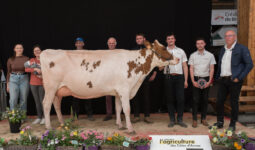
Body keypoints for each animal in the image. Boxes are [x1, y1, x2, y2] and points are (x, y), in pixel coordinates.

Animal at [40, 39, 179, 134]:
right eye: (164, 48)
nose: (177, 59)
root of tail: (47, 51)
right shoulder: (124, 89)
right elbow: (127, 109)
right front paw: (130, 129)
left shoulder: (118, 92)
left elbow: (118, 108)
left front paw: (120, 125)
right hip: (51, 87)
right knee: (46, 104)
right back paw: (49, 127)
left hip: (58, 90)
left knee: (56, 104)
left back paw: (62, 123)